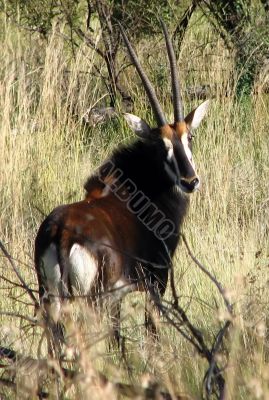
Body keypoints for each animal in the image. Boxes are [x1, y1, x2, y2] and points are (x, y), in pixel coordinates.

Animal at [34, 21, 208, 350]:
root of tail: (63, 234)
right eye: (160, 145)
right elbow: (151, 332)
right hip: (92, 300)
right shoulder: (155, 283)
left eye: (188, 137)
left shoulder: (118, 297)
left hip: (50, 297)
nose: (190, 181)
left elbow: (118, 340)